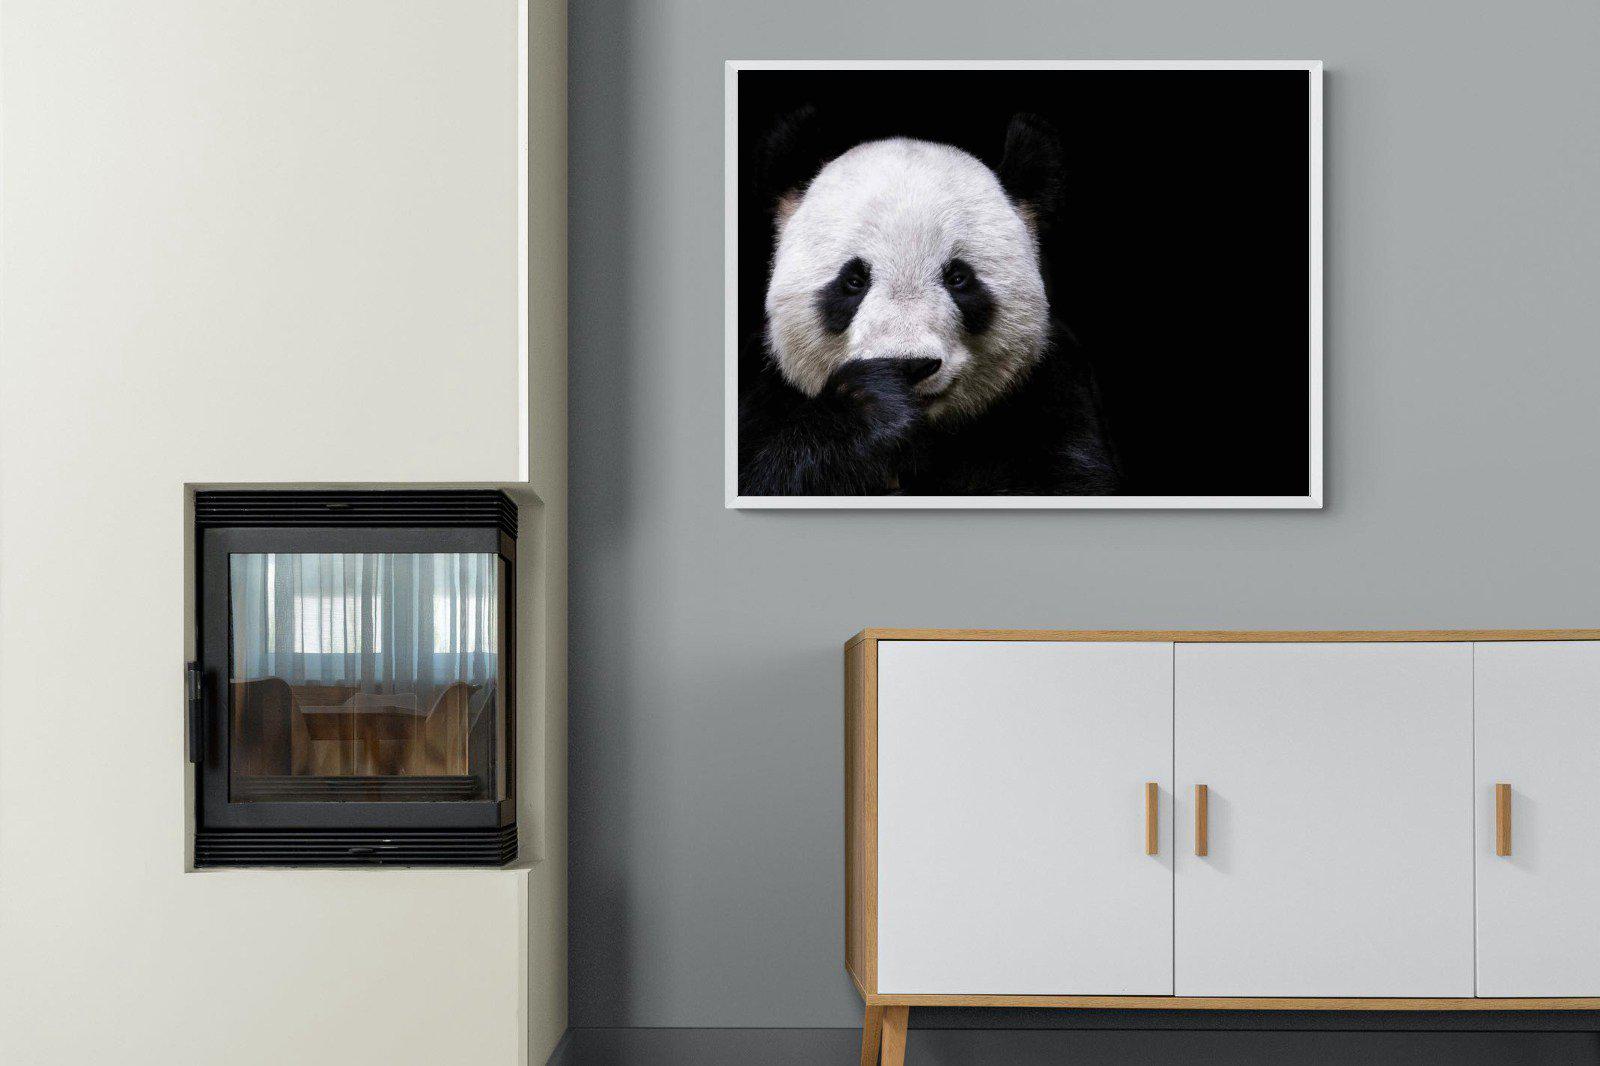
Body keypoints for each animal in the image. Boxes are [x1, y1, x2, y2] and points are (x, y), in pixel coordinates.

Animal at [738, 111, 1121, 497]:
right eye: (854, 281)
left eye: (958, 278)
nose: (910, 365)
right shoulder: (763, 391)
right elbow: (765, 474)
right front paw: (871, 404)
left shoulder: (1052, 393)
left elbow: (1065, 479)